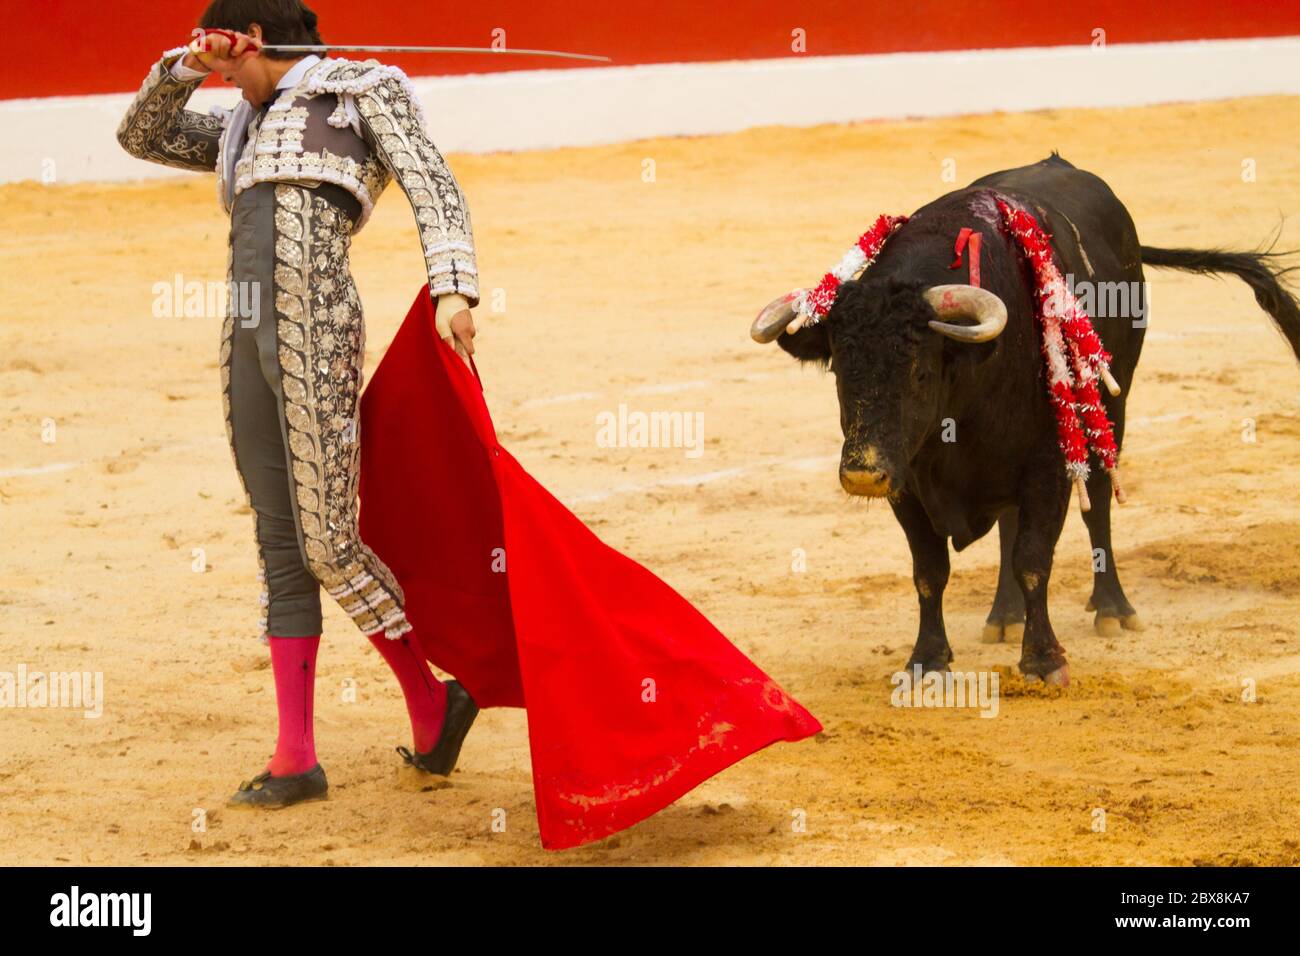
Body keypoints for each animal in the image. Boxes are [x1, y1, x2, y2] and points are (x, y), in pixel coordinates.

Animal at [754, 153, 1300, 686]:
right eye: (840, 369)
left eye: (921, 372)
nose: (863, 474)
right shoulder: (905, 478)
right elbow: (930, 569)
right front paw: (927, 659)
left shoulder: (1046, 464)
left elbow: (1034, 558)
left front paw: (1043, 659)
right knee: (1007, 524)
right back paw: (1004, 614)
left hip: (1112, 404)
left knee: (1096, 503)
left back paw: (1112, 607)